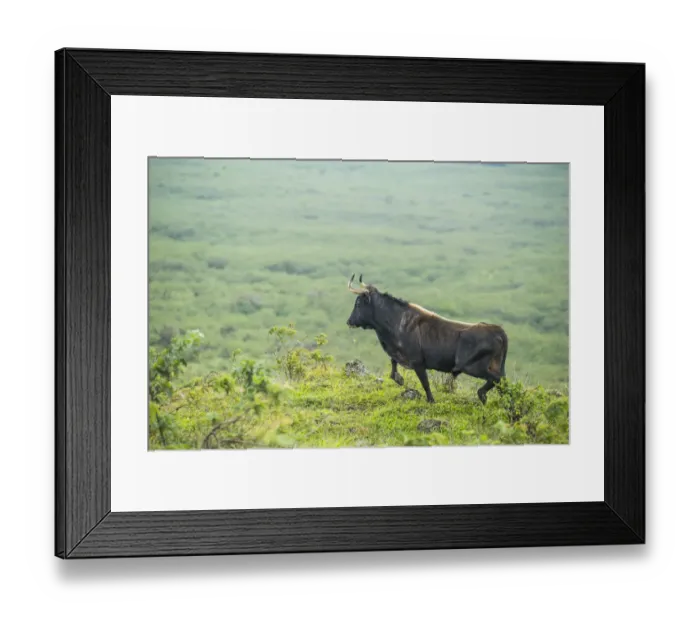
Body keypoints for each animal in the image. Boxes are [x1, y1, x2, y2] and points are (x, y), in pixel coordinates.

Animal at [346, 274, 508, 404]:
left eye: (358, 303)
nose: (349, 321)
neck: (396, 320)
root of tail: (498, 330)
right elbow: (393, 365)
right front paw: (399, 379)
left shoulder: (418, 362)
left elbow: (425, 383)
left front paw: (431, 400)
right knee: (503, 384)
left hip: (471, 366)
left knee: (497, 379)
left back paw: (482, 395)